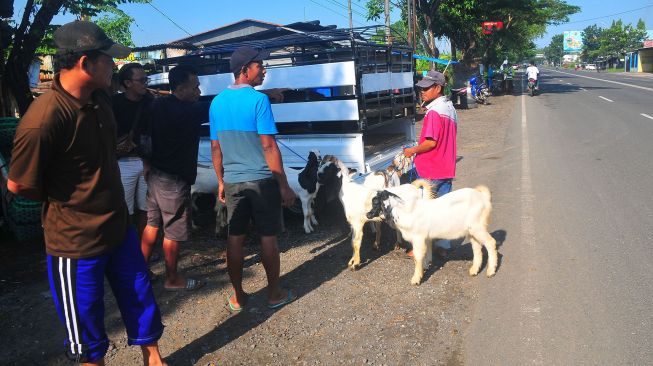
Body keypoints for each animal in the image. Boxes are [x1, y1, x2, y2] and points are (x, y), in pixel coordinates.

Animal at [366, 186, 494, 286]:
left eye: (376, 202)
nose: (368, 214)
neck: (406, 211)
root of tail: (482, 197)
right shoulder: (425, 237)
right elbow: (427, 252)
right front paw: (425, 266)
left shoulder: (418, 237)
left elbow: (417, 256)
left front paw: (416, 279)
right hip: (472, 231)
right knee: (477, 247)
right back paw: (474, 270)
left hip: (477, 227)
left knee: (490, 242)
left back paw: (491, 271)